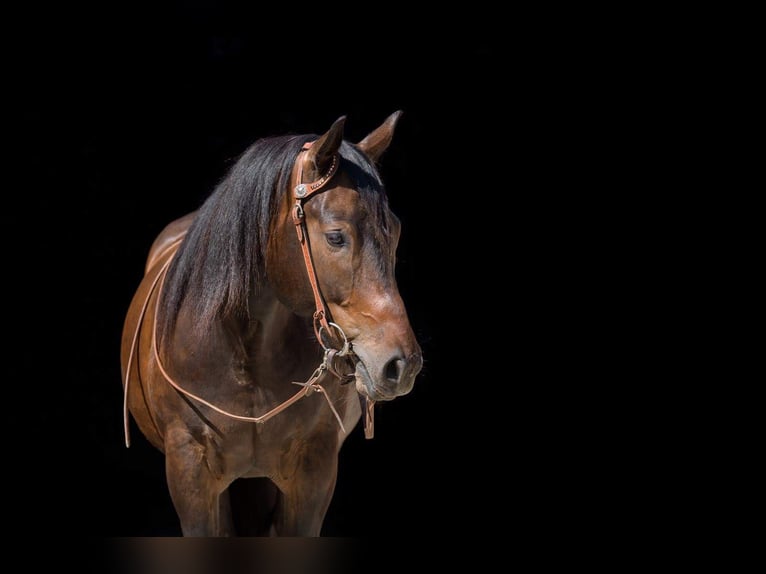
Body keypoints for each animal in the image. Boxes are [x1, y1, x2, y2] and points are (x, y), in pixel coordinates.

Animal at [120, 112, 423, 536]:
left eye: (394, 232)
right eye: (335, 237)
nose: (402, 364)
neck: (246, 351)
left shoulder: (313, 474)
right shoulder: (189, 472)